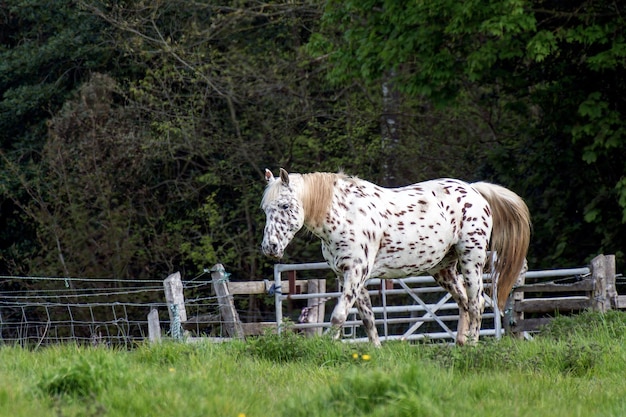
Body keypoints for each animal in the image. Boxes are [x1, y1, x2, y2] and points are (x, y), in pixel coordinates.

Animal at [258, 167, 528, 346]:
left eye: (284, 206)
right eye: (265, 209)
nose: (270, 247)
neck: (344, 214)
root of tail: (475, 191)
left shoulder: (356, 273)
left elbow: (338, 316)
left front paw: (328, 348)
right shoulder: (350, 277)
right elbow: (367, 319)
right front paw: (375, 352)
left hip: (471, 260)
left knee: (476, 303)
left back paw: (471, 346)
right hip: (443, 269)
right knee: (463, 302)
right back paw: (460, 345)